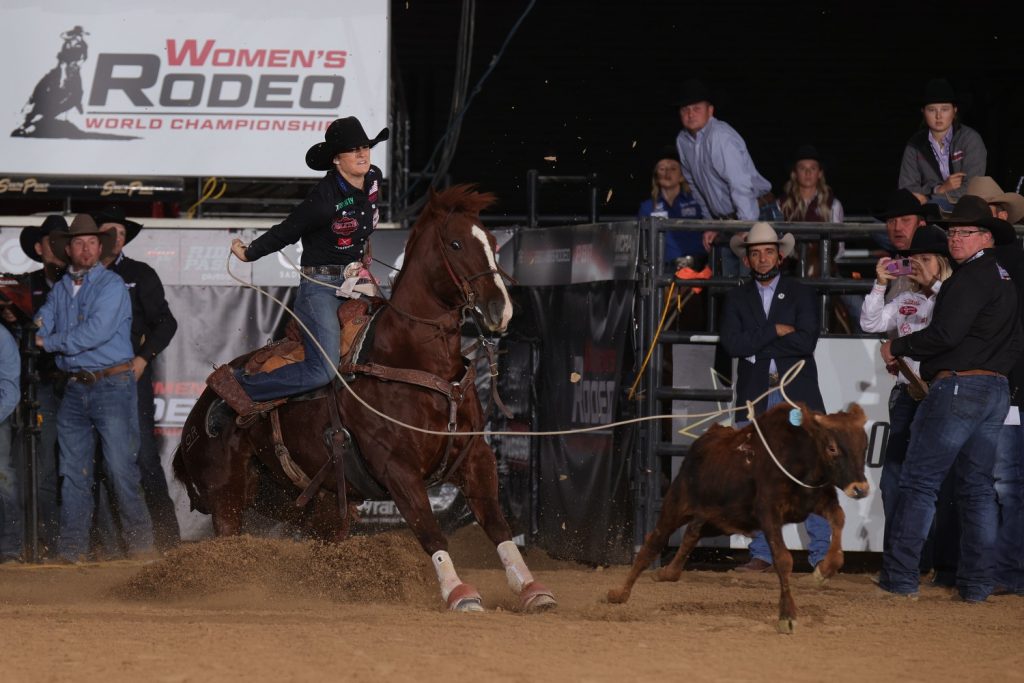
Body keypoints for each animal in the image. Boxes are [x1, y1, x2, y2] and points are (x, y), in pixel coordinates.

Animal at [178, 185, 561, 614]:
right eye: (455, 243)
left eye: (493, 243)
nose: (500, 309)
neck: (409, 358)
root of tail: (198, 411)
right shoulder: (397, 468)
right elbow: (430, 529)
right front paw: (459, 593)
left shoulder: (475, 456)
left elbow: (497, 525)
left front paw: (532, 588)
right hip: (226, 495)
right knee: (228, 545)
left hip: (314, 504)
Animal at [602, 403, 868, 634]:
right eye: (832, 448)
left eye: (864, 446)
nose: (860, 488)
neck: (798, 459)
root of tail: (706, 439)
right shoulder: (768, 514)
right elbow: (783, 560)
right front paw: (787, 616)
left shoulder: (820, 501)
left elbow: (839, 519)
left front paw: (824, 569)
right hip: (677, 505)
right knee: (653, 542)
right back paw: (619, 594)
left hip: (724, 520)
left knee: (693, 532)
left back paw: (667, 573)